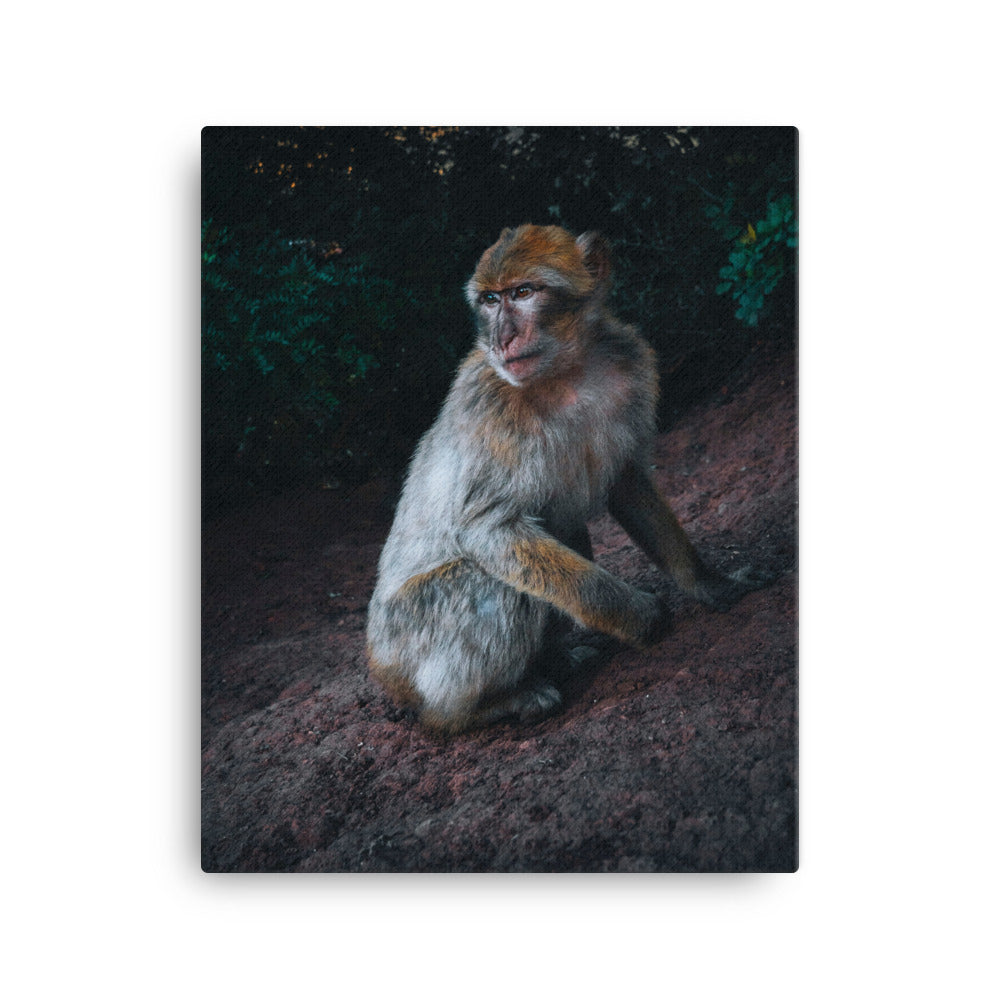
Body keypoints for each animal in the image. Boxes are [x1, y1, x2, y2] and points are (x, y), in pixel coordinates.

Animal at [366, 224, 769, 734]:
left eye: (523, 293)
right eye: (490, 300)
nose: (501, 338)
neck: (565, 373)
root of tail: (382, 669)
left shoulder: (630, 364)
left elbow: (626, 481)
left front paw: (708, 582)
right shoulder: (491, 406)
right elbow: (489, 530)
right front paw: (640, 616)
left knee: (563, 527)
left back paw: (554, 659)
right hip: (410, 643)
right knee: (491, 584)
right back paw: (480, 708)